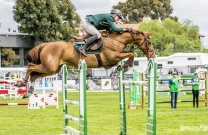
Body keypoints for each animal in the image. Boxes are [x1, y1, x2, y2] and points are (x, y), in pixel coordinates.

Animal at [22, 28, 155, 88]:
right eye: (149, 42)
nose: (153, 55)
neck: (116, 40)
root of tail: (45, 45)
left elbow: (130, 53)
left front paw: (122, 66)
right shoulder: (113, 56)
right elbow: (131, 54)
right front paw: (127, 66)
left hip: (53, 69)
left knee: (35, 74)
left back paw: (29, 91)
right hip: (48, 66)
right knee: (31, 67)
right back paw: (22, 83)